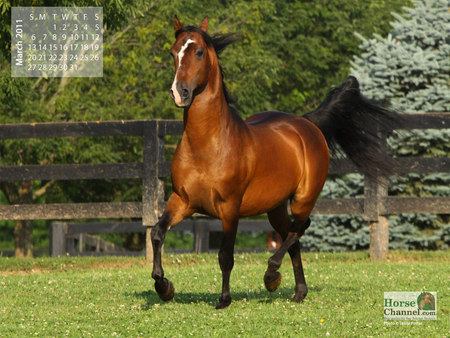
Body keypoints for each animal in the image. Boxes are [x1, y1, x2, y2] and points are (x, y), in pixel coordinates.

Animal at [152, 15, 400, 308]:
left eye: (199, 52)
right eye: (173, 53)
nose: (179, 92)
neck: (207, 146)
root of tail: (305, 123)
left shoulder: (230, 208)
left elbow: (225, 255)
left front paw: (224, 299)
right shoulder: (181, 201)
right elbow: (157, 232)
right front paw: (163, 286)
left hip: (303, 198)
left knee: (299, 228)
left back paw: (272, 276)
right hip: (275, 207)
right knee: (293, 236)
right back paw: (299, 291)